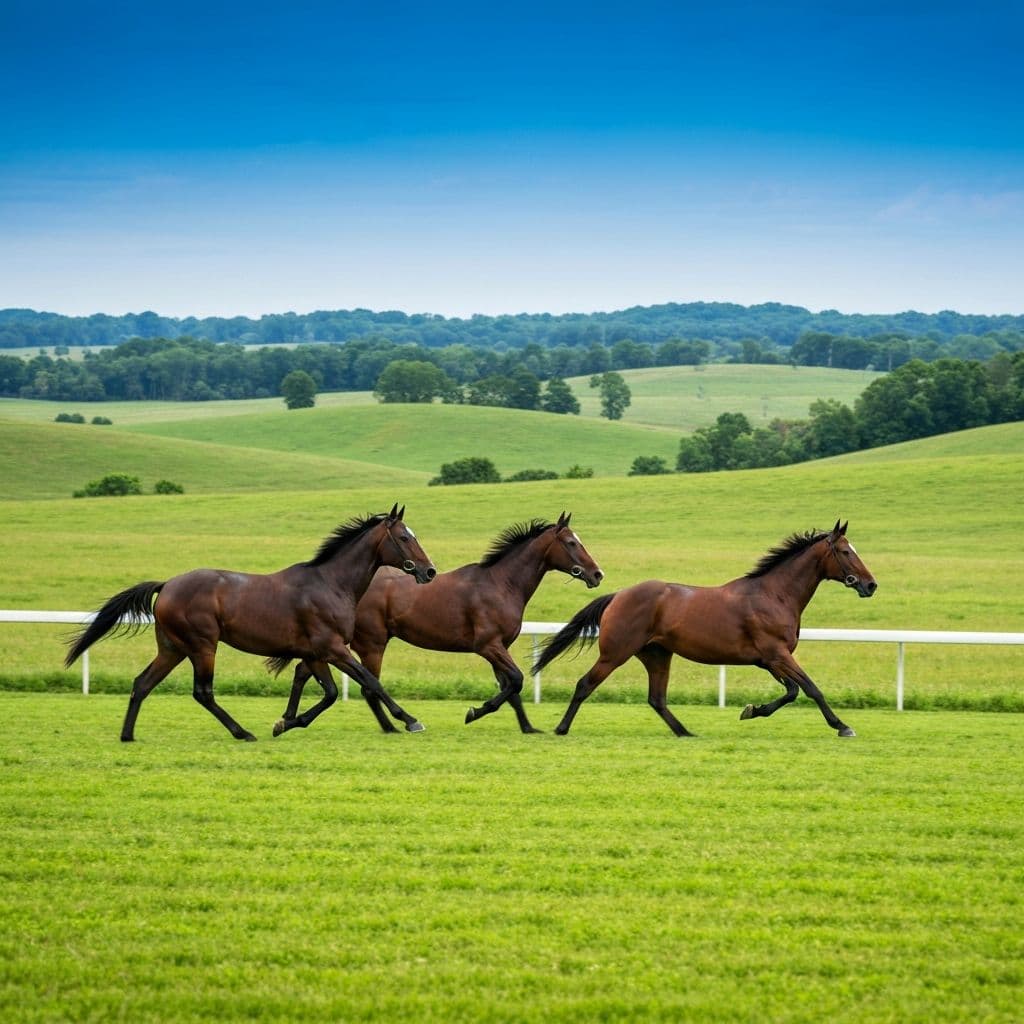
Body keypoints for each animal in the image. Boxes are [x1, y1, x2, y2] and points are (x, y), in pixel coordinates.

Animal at [64, 505, 436, 742]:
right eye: (405, 537)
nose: (429, 571)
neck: (331, 583)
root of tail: (167, 585)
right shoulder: (332, 649)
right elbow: (371, 681)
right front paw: (411, 721)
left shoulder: (316, 653)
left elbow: (329, 693)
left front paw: (286, 722)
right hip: (202, 645)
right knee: (202, 692)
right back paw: (242, 732)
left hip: (172, 648)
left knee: (142, 683)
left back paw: (127, 735)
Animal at [274, 512, 604, 734]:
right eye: (572, 542)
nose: (597, 573)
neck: (502, 584)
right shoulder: (488, 646)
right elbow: (516, 680)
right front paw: (475, 711)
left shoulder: (500, 647)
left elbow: (510, 686)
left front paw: (528, 727)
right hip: (369, 643)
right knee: (368, 685)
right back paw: (397, 725)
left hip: (332, 644)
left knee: (305, 671)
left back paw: (288, 719)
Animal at [532, 520, 877, 738]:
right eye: (846, 552)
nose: (871, 584)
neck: (774, 595)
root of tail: (618, 595)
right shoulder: (777, 654)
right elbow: (810, 688)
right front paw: (842, 726)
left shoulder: (768, 659)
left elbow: (792, 690)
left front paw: (752, 710)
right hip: (616, 653)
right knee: (585, 684)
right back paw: (561, 728)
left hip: (657, 655)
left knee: (656, 698)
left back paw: (684, 731)